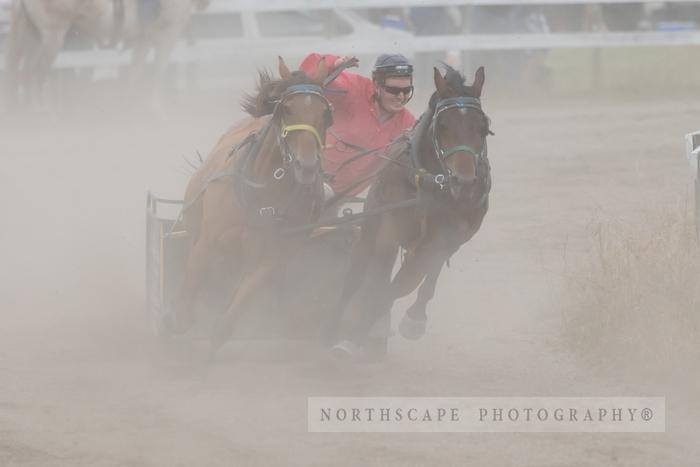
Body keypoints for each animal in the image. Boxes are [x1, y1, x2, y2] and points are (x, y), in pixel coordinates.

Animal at [5, 0, 208, 106]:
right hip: (52, 36)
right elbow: (155, 74)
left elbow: (135, 72)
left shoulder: (143, 40)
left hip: (34, 36)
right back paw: (43, 112)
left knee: (25, 73)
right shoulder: (169, 35)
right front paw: (154, 110)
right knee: (37, 73)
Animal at [171, 57, 332, 362]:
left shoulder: (271, 259)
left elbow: (227, 320)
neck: (264, 194)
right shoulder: (207, 241)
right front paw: (173, 326)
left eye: (325, 113)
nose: (307, 166)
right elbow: (186, 300)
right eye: (287, 109)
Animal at [328, 64, 492, 360]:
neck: (432, 183)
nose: (464, 183)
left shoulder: (447, 239)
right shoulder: (390, 229)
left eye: (484, 128)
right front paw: (351, 336)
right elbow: (380, 281)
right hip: (371, 226)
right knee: (357, 273)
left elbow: (407, 283)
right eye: (443, 126)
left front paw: (403, 322)